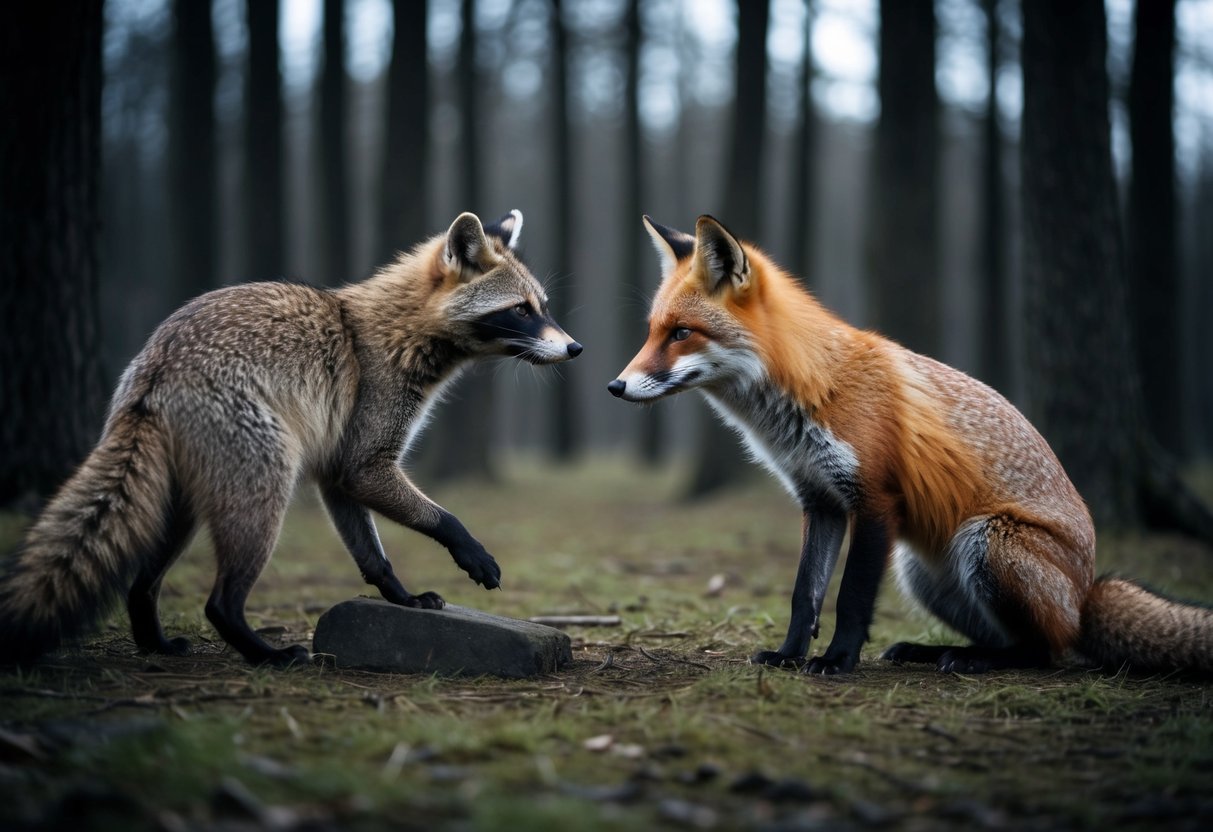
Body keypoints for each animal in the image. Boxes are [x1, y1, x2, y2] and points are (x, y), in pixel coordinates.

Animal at [0, 210, 582, 668]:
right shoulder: (366, 460)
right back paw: (266, 655)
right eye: (521, 310)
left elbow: (374, 559)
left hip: (178, 508)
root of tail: (157, 368)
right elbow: (442, 517)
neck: (393, 335)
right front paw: (470, 551)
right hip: (263, 492)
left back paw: (156, 643)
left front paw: (401, 597)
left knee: (140, 587)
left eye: (544, 306)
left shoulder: (336, 469)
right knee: (219, 603)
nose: (576, 349)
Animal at [609, 214, 1213, 675]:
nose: (616, 386)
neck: (810, 391)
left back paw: (973, 661)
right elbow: (804, 594)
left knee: (1047, 651)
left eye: (681, 333)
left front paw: (836, 661)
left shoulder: (876, 500)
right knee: (1009, 638)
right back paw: (930, 650)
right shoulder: (820, 501)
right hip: (920, 569)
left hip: (985, 540)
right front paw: (789, 656)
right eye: (652, 331)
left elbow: (851, 596)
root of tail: (1086, 592)